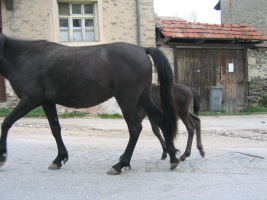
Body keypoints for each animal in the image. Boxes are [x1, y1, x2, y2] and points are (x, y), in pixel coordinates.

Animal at [0, 35, 180, 174]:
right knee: (160, 119)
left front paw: (2, 156)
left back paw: (120, 164)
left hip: (126, 98)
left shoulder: (30, 100)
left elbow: (6, 122)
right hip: (143, 97)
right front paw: (59, 158)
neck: (24, 57)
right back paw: (173, 157)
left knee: (135, 128)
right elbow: (55, 129)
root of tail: (143, 50)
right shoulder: (47, 102)